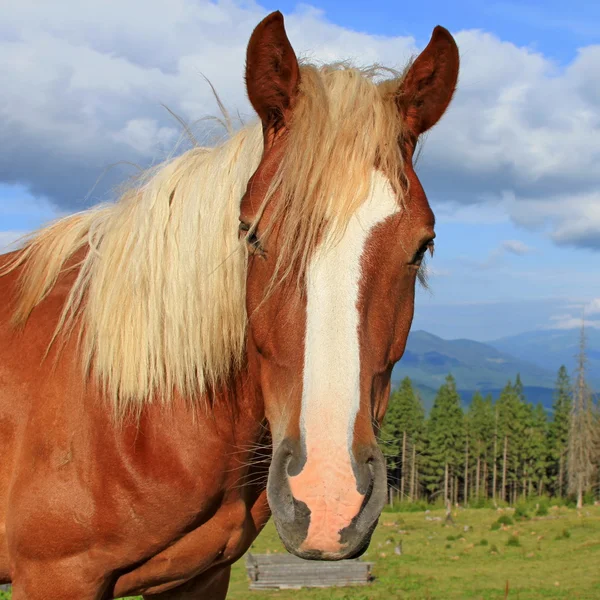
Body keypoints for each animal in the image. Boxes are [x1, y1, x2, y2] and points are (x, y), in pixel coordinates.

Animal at [0, 10, 458, 600]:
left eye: (421, 245)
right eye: (252, 234)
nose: (329, 497)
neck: (130, 405)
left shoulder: (198, 576)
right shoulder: (57, 575)